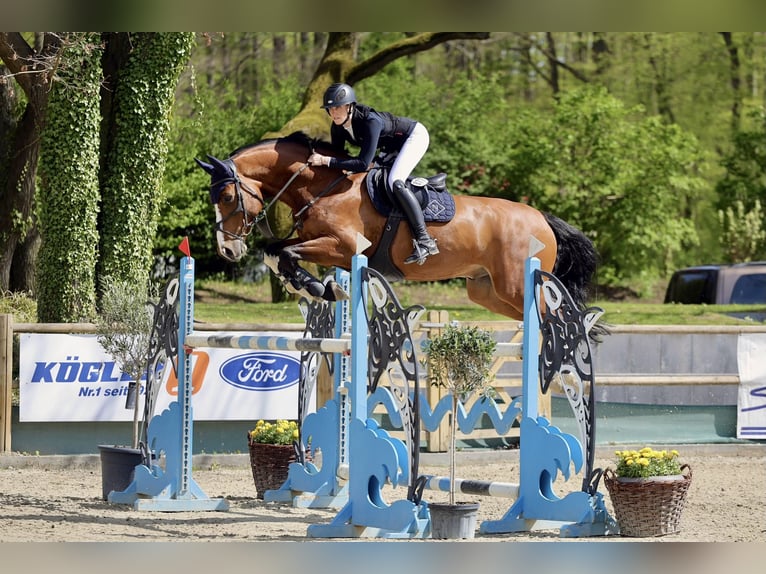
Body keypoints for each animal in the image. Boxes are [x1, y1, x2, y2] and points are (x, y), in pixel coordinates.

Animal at [195, 131, 598, 322]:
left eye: (227, 197)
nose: (227, 250)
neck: (325, 186)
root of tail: (541, 217)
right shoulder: (320, 242)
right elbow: (276, 251)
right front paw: (316, 287)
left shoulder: (344, 246)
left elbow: (285, 251)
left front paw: (317, 286)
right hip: (487, 291)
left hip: (515, 285)